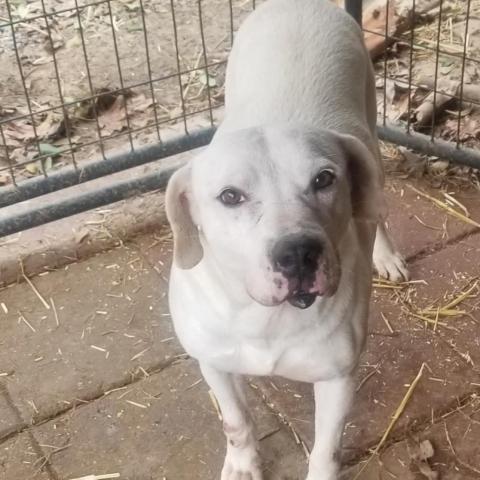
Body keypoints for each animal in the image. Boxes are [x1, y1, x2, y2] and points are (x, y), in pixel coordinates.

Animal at [167, 1, 406, 478]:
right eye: (230, 196)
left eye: (324, 179)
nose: (297, 253)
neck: (266, 319)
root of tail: (302, 5)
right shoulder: (213, 362)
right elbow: (236, 421)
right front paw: (243, 465)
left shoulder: (337, 378)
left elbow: (326, 449)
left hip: (372, 136)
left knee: (377, 209)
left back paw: (386, 254)